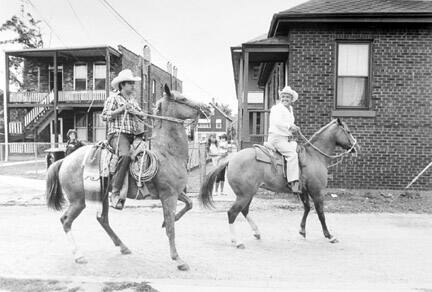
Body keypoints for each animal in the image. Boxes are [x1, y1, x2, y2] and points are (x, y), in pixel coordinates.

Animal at [46, 85, 211, 272]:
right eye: (182, 99)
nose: (206, 108)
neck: (166, 153)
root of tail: (64, 160)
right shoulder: (168, 195)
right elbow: (171, 228)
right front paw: (178, 259)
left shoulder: (176, 192)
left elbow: (188, 205)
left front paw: (166, 221)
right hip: (78, 200)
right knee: (66, 221)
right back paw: (79, 256)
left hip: (103, 195)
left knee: (102, 219)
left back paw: (123, 246)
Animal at [199, 118, 358, 249]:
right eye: (348, 131)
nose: (356, 148)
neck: (314, 156)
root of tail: (231, 159)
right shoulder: (317, 191)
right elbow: (320, 213)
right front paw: (329, 236)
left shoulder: (303, 191)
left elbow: (307, 208)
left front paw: (302, 230)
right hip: (244, 195)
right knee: (232, 213)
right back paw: (236, 241)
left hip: (248, 194)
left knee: (244, 211)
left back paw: (256, 232)